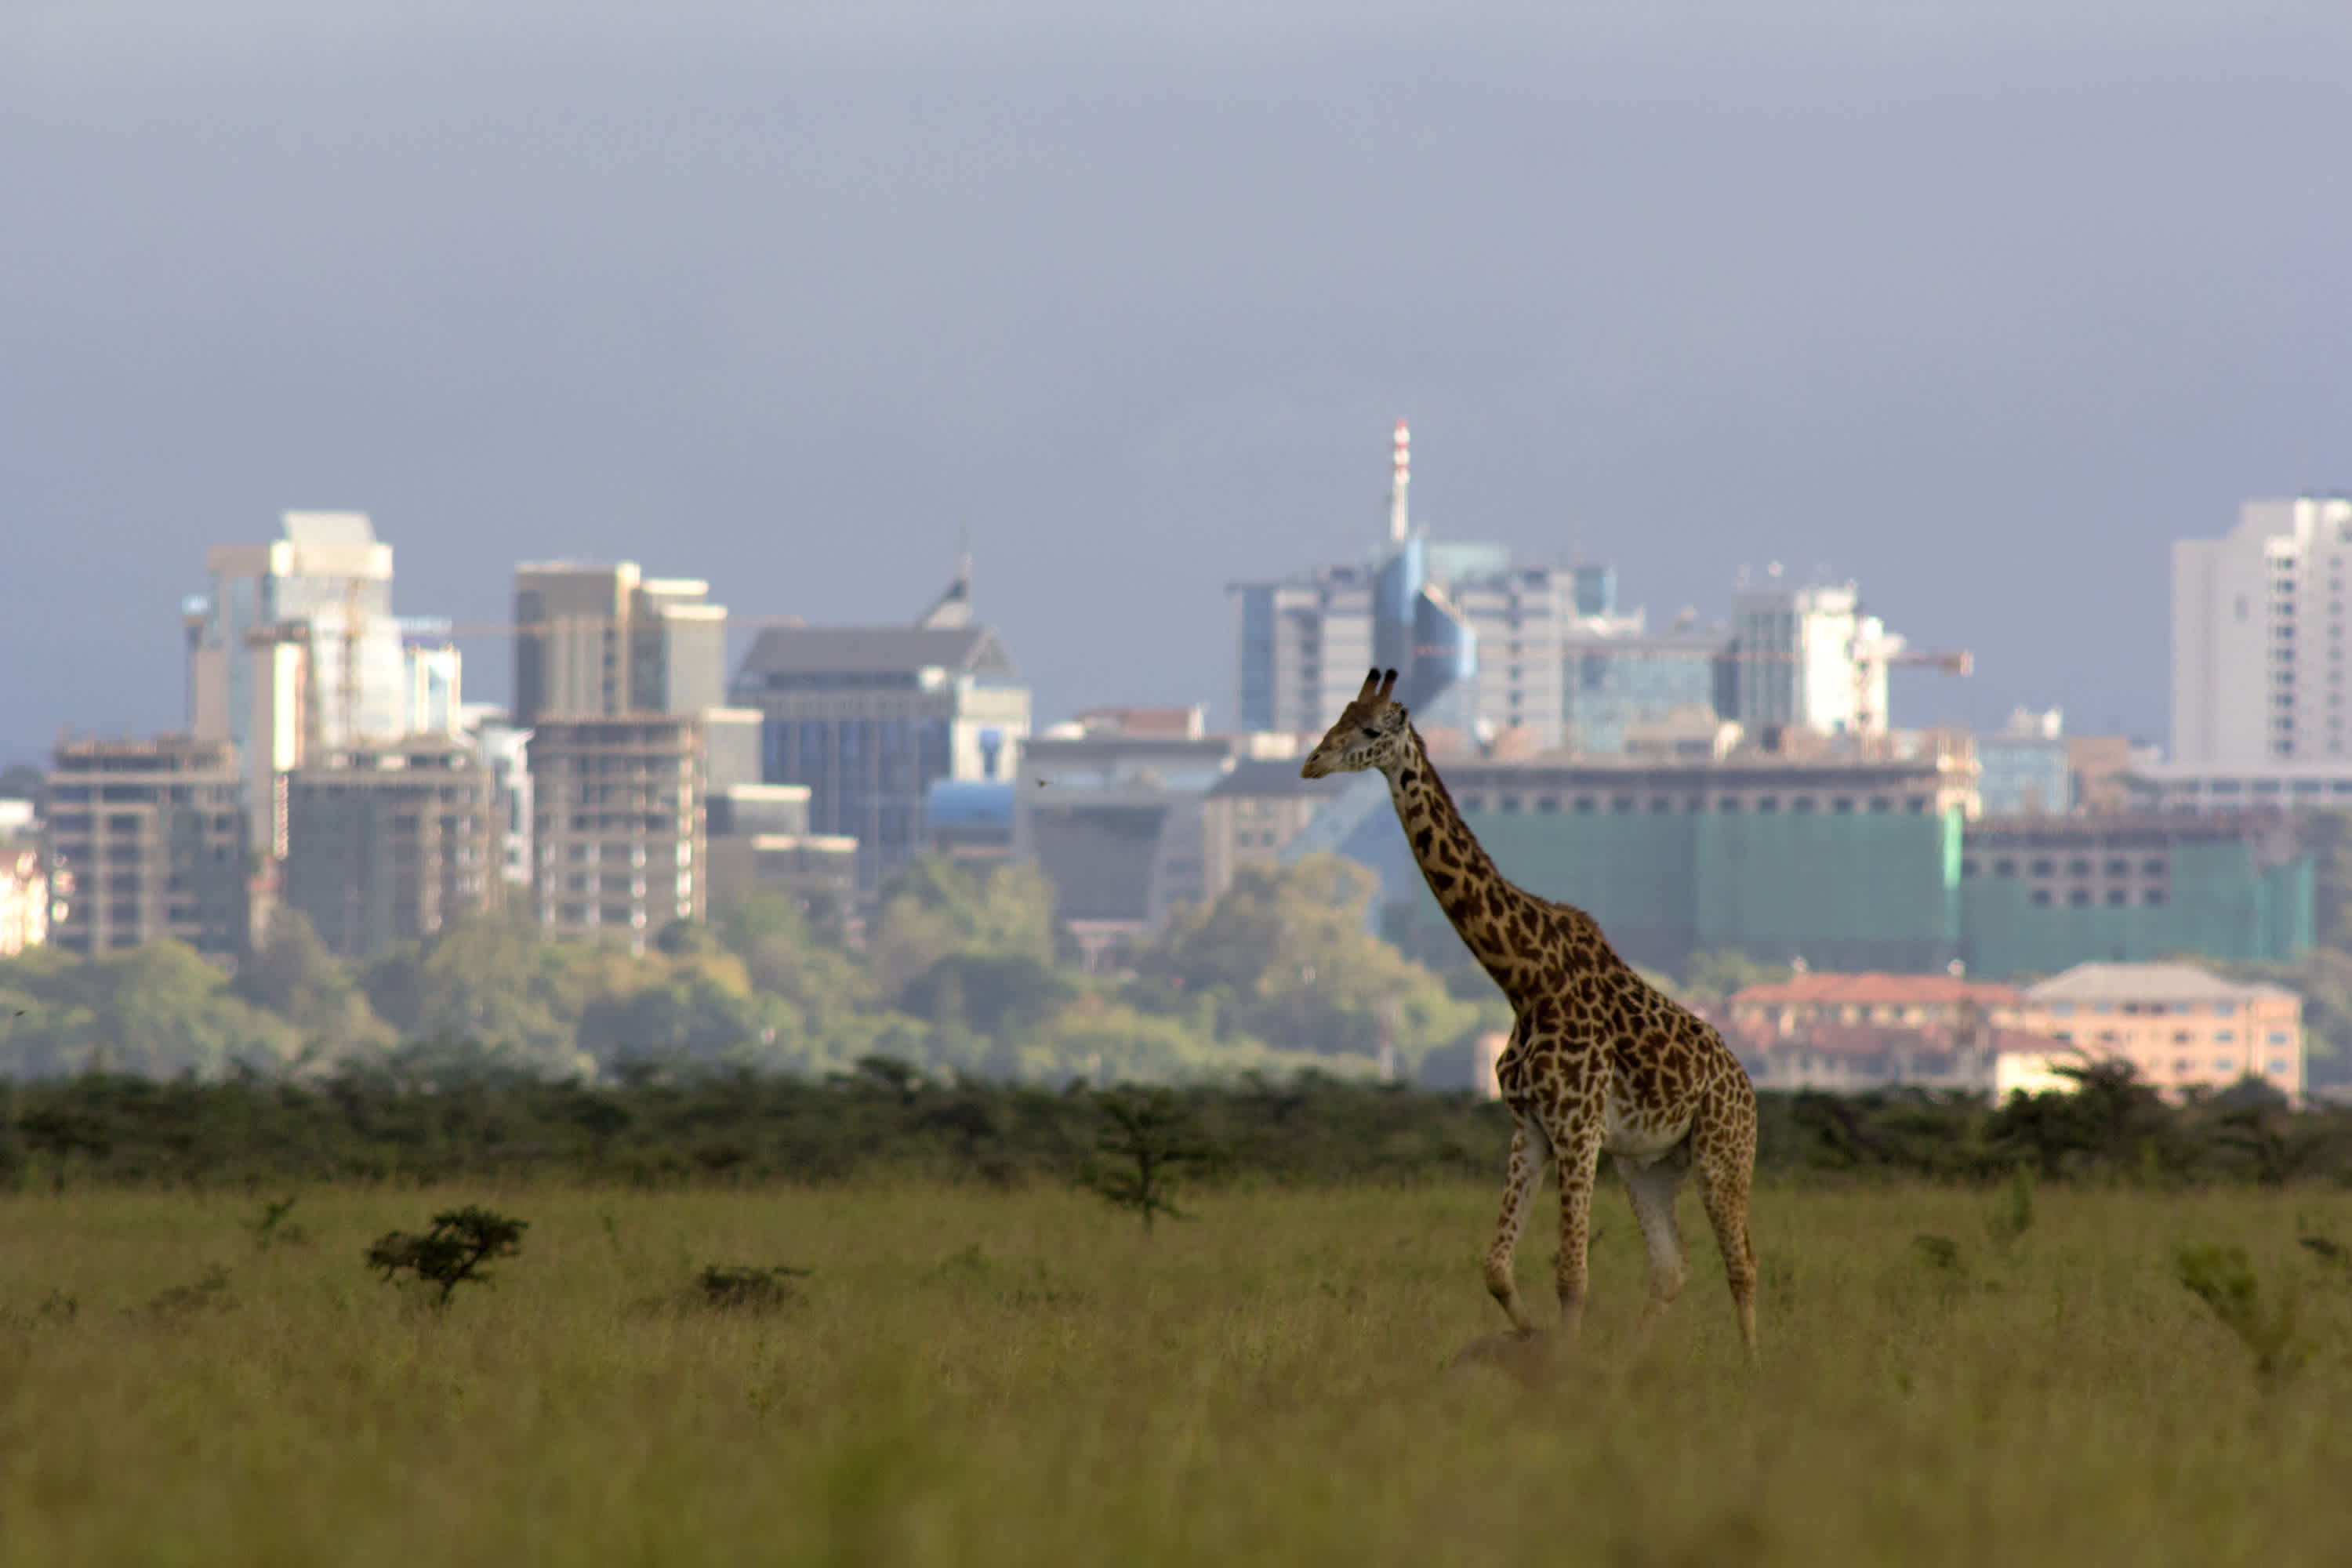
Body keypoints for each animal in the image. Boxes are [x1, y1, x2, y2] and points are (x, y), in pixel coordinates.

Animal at [1308, 667, 1769, 1354]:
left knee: (1742, 1264)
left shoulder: (1577, 1129)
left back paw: (1751, 1366)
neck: (1524, 980)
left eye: (1368, 730)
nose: (1311, 763)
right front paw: (1533, 1341)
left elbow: (1572, 1275)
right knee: (1671, 1266)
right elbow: (1497, 1268)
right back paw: (1631, 1363)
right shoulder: (1530, 1127)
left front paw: (1559, 1364)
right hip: (1649, 1165)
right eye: (1337, 717)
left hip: (1724, 1152)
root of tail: (1746, 1085)